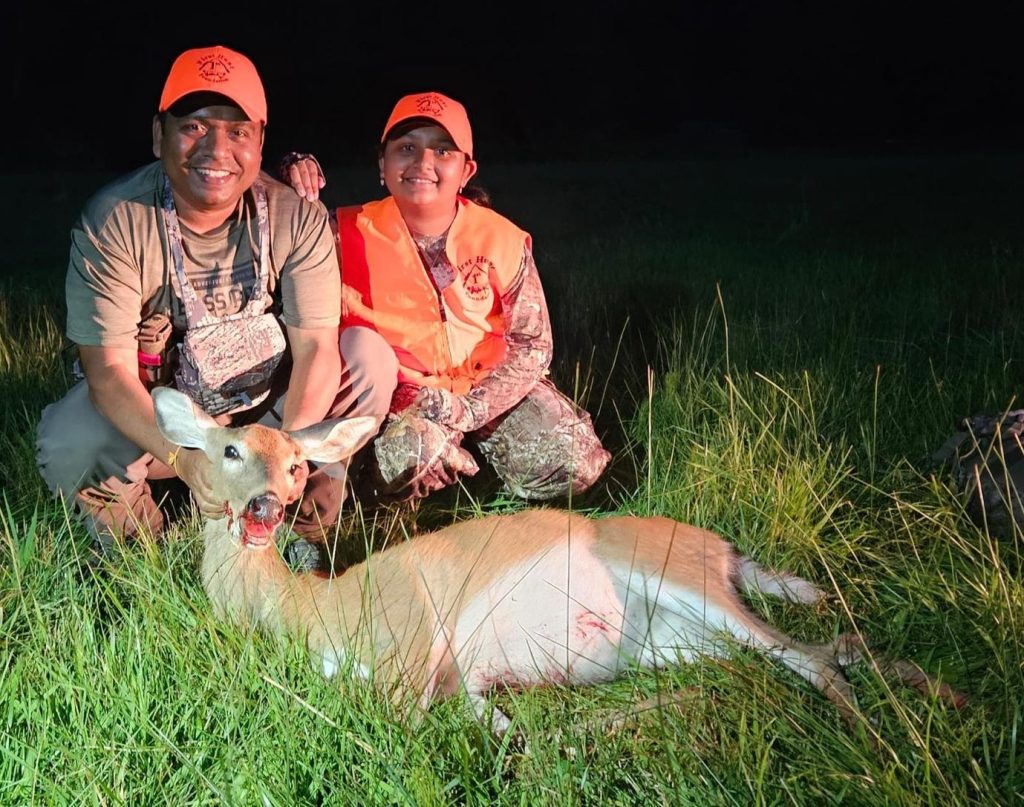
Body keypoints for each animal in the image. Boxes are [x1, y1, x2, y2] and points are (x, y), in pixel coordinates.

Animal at [149, 387, 958, 741]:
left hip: (683, 581)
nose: (265, 507)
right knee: (831, 645)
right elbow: (506, 726)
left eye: (295, 464)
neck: (309, 608)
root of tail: (726, 548)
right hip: (678, 641)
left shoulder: (412, 650)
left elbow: (418, 719)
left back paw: (881, 739)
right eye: (231, 448)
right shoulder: (466, 679)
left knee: (814, 658)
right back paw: (944, 700)